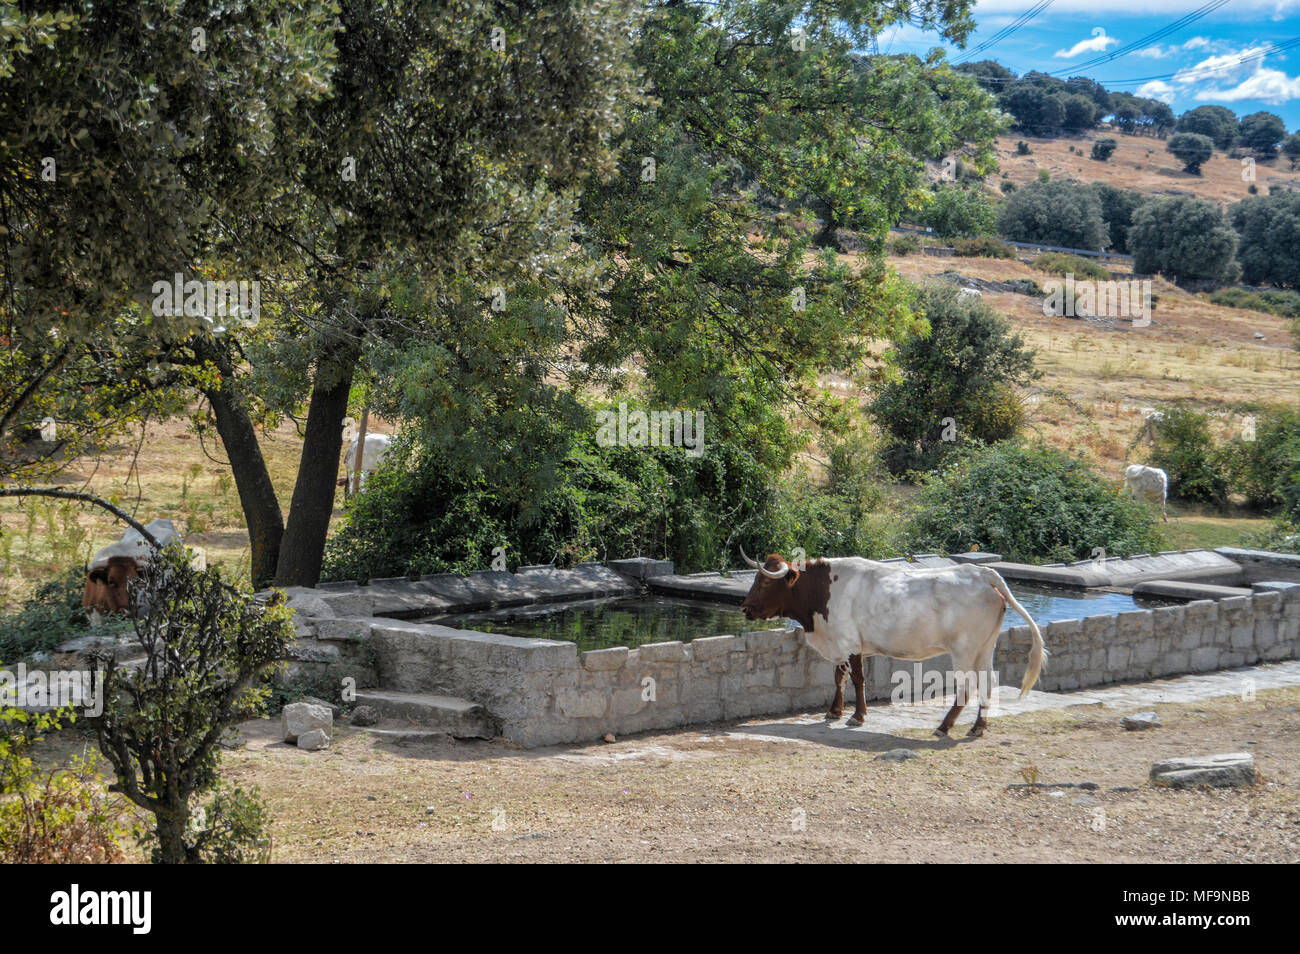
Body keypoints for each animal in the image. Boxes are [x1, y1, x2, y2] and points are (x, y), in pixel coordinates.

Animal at [743, 553, 1045, 738]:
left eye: (765, 581)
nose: (745, 608)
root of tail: (982, 573)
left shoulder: (850, 643)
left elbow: (858, 680)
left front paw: (857, 716)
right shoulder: (840, 643)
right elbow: (839, 677)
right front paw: (834, 711)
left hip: (965, 650)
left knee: (967, 687)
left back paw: (945, 726)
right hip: (985, 647)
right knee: (987, 683)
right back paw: (978, 728)